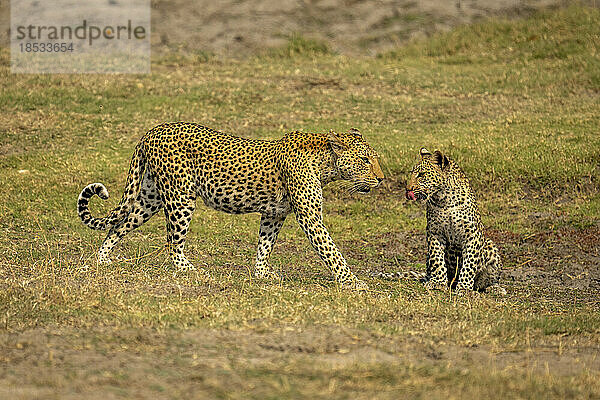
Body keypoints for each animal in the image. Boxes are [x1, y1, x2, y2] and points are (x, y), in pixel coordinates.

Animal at [77, 122, 384, 288]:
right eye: (365, 160)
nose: (381, 179)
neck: (326, 164)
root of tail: (153, 130)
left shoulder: (274, 214)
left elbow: (265, 245)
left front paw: (261, 274)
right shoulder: (309, 216)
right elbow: (331, 251)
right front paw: (353, 282)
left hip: (151, 197)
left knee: (119, 224)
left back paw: (101, 260)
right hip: (181, 197)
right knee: (172, 241)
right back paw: (190, 270)